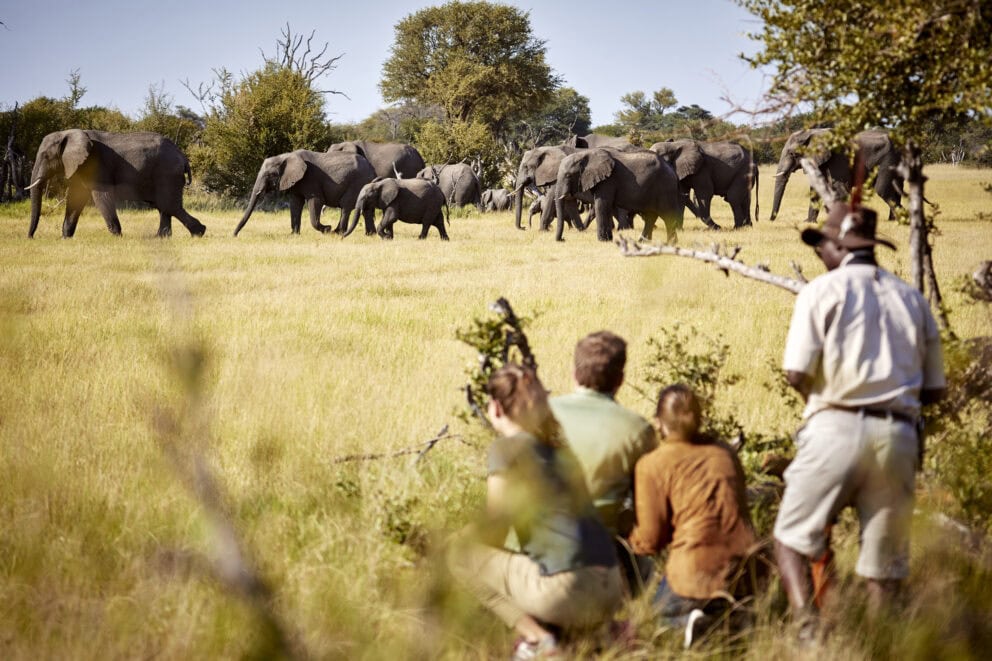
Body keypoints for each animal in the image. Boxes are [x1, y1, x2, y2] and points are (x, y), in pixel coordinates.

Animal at [26, 129, 205, 238]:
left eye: (46, 156)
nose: (30, 237)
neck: (69, 133)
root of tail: (183, 156)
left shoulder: (97, 164)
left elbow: (101, 196)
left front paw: (117, 237)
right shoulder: (80, 166)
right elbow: (75, 198)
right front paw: (65, 238)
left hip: (167, 173)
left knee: (168, 205)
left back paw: (199, 233)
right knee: (164, 206)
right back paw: (162, 238)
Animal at [234, 150, 376, 236]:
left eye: (270, 175)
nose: (235, 235)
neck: (286, 156)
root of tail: (371, 168)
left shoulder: (310, 178)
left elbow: (315, 201)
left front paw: (327, 229)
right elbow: (295, 204)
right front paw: (294, 235)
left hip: (357, 182)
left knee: (345, 207)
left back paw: (337, 232)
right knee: (365, 209)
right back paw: (370, 235)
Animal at [554, 148, 683, 243]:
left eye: (568, 175)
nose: (563, 239)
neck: (585, 154)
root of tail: (671, 169)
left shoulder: (608, 181)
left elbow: (602, 204)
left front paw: (602, 241)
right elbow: (607, 206)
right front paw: (608, 239)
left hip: (665, 187)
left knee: (667, 215)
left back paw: (671, 243)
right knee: (651, 215)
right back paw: (642, 242)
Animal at [770, 129, 904, 223]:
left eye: (792, 154)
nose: (770, 220)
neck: (813, 133)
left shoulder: (839, 159)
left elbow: (839, 188)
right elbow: (816, 189)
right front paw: (808, 222)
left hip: (888, 161)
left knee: (882, 189)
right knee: (898, 189)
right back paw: (893, 220)